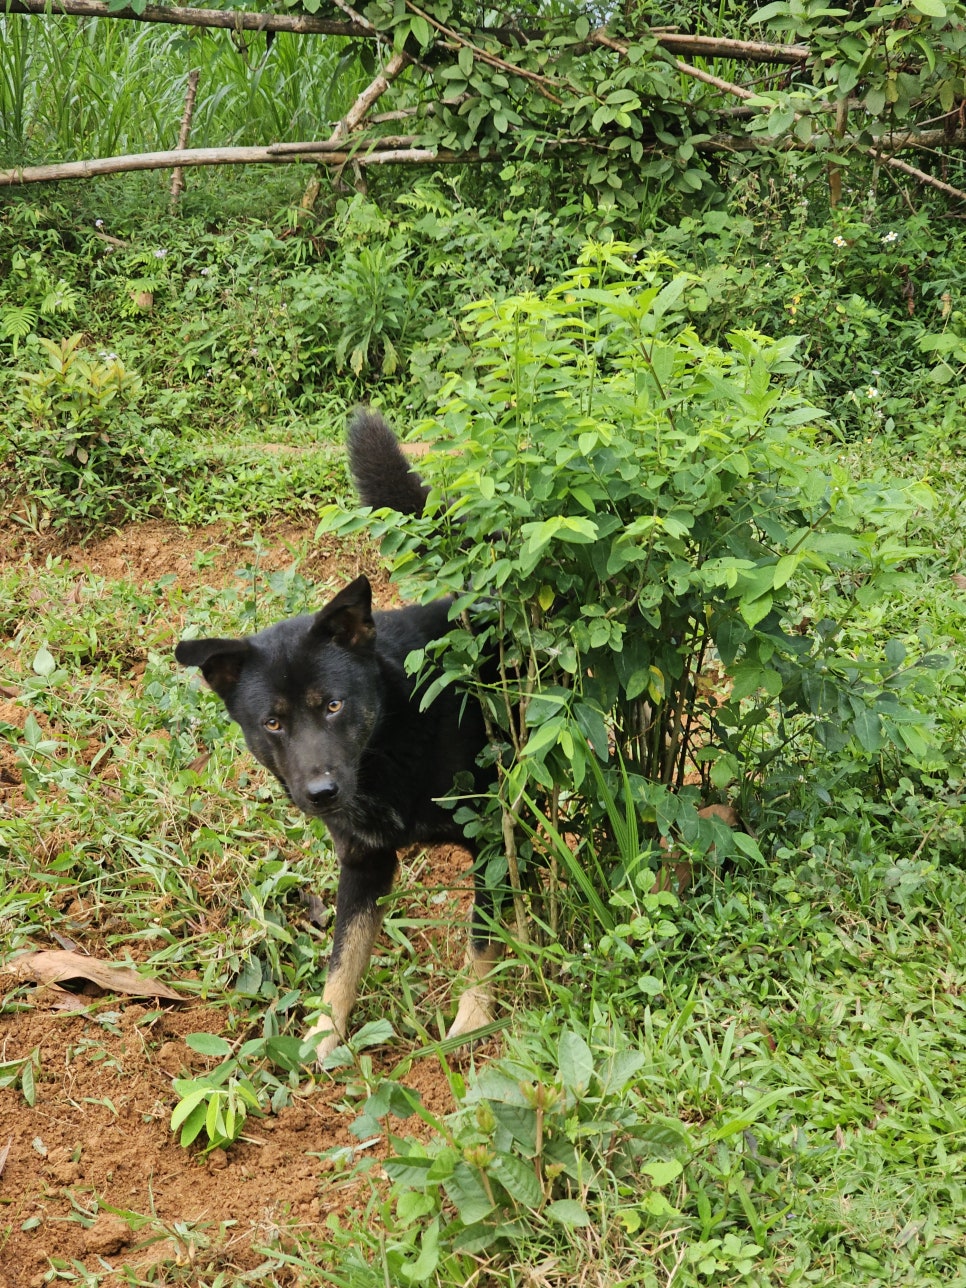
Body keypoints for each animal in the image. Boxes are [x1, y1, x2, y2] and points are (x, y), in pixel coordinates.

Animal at [177, 409, 499, 1056]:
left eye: (332, 706)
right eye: (272, 722)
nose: (321, 794)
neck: (390, 742)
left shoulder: (495, 835)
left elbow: (482, 942)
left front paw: (473, 1019)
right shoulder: (362, 862)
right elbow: (342, 960)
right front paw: (322, 1039)